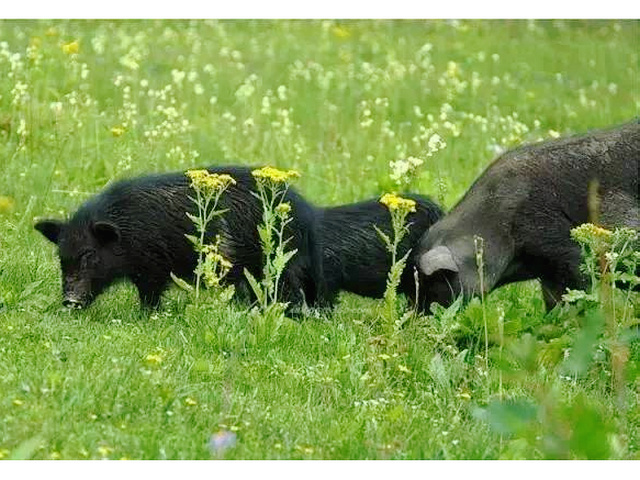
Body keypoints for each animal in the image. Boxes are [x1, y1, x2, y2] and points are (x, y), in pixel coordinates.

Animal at [35, 166, 324, 312]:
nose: (69, 301)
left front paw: (147, 315)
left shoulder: (153, 266)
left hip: (278, 261)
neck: (127, 233)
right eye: (61, 257)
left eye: (90, 254)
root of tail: (306, 215)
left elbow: (150, 294)